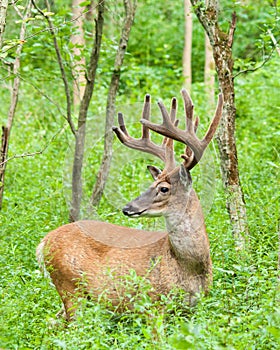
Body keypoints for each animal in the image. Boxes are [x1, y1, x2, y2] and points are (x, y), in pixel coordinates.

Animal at [36, 88, 223, 320]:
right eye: (153, 183)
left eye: (163, 188)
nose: (128, 208)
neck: (189, 266)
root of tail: (43, 243)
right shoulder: (152, 304)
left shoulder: (193, 308)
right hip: (69, 285)